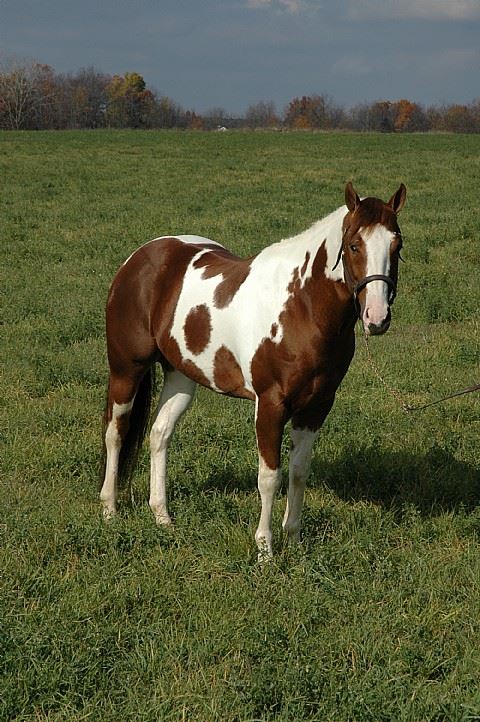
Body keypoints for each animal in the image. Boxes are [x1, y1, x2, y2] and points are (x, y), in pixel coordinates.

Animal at [100, 183, 404, 560]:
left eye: (397, 245)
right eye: (354, 245)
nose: (377, 317)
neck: (301, 306)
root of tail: (140, 257)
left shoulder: (317, 405)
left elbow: (299, 471)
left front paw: (294, 540)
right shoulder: (270, 405)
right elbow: (269, 477)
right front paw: (265, 550)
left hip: (182, 376)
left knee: (159, 434)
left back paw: (162, 517)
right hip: (126, 369)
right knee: (116, 432)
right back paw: (109, 510)